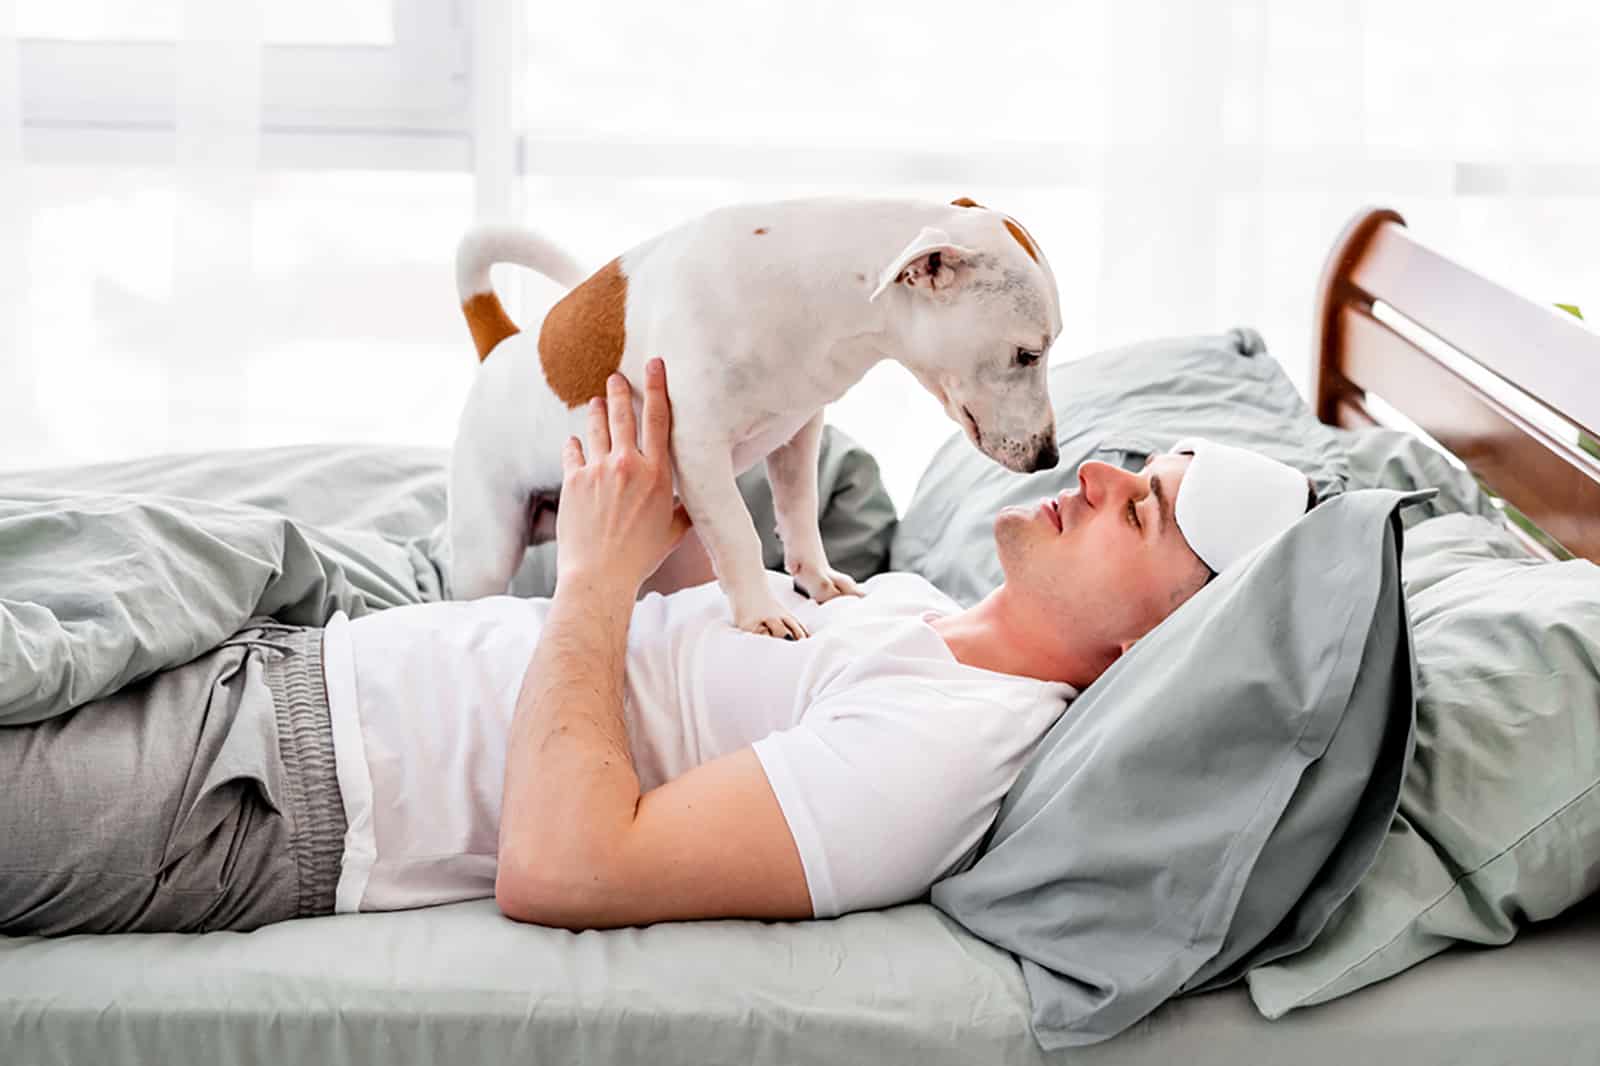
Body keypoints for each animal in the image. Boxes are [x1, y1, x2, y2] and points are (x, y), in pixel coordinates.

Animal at [451, 194, 1062, 633]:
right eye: (1028, 354)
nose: (1050, 457)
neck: (809, 292)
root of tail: (502, 345)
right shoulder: (697, 450)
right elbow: (740, 534)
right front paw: (761, 613)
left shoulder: (799, 433)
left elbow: (799, 512)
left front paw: (816, 580)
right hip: (489, 550)